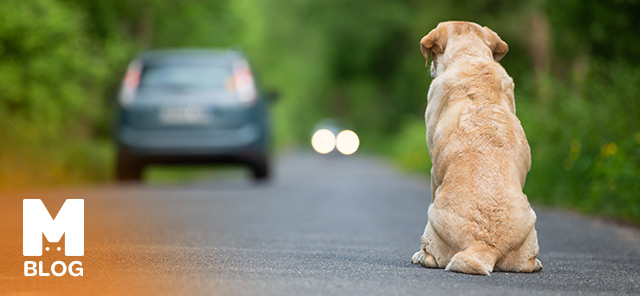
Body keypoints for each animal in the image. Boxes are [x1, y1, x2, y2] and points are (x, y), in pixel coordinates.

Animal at [412, 21, 544, 276]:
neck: (470, 56)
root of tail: (483, 245)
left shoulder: (433, 171)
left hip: (432, 218)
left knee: (431, 255)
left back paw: (420, 256)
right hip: (530, 225)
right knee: (529, 262)